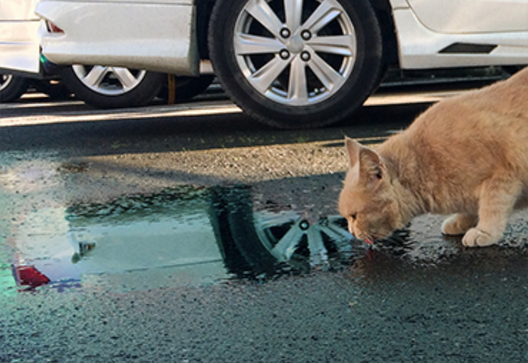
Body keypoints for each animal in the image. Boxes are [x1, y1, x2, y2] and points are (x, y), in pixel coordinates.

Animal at [340, 66, 528, 247]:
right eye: (348, 217)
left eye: (354, 215)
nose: (351, 232)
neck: (425, 161)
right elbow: (472, 208)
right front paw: (459, 222)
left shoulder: (501, 176)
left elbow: (492, 206)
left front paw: (484, 231)